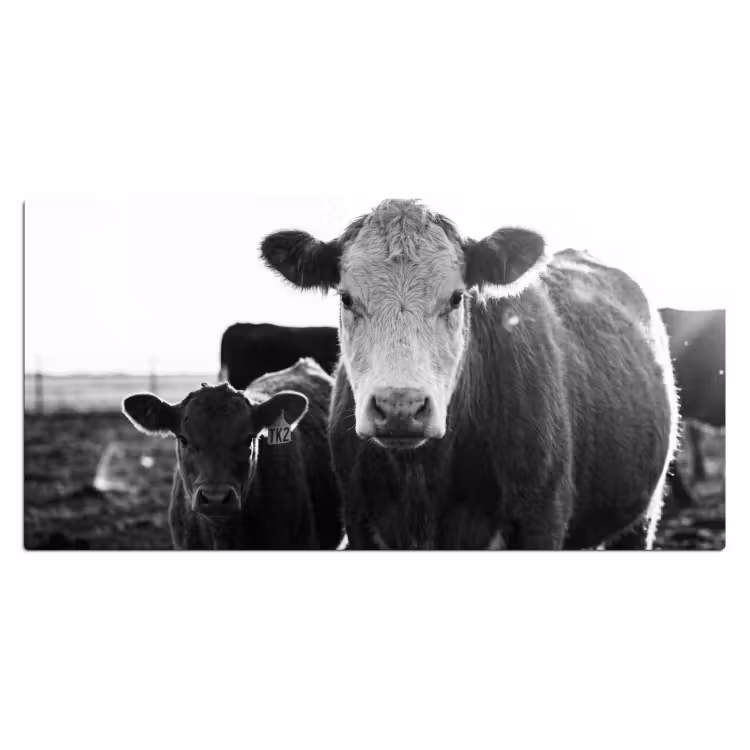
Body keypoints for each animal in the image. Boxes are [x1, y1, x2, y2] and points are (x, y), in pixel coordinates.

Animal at [260, 199, 679, 550]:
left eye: (456, 297)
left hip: (641, 518)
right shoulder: (360, 521)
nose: (400, 407)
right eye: (346, 298)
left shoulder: (541, 519)